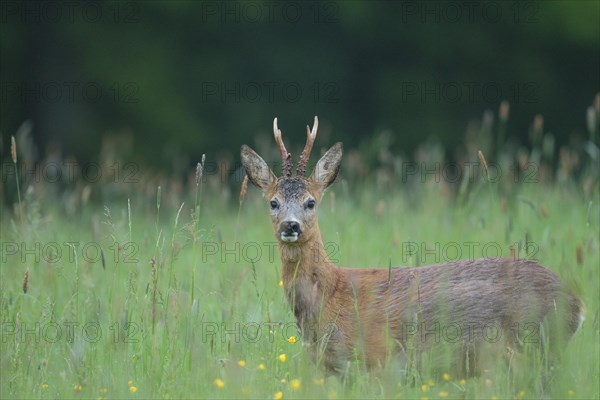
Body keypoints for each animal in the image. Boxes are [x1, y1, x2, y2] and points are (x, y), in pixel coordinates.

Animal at [240, 115, 584, 376]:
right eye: (273, 202)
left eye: (310, 202)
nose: (290, 226)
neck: (331, 294)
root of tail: (577, 305)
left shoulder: (374, 362)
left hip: (533, 348)